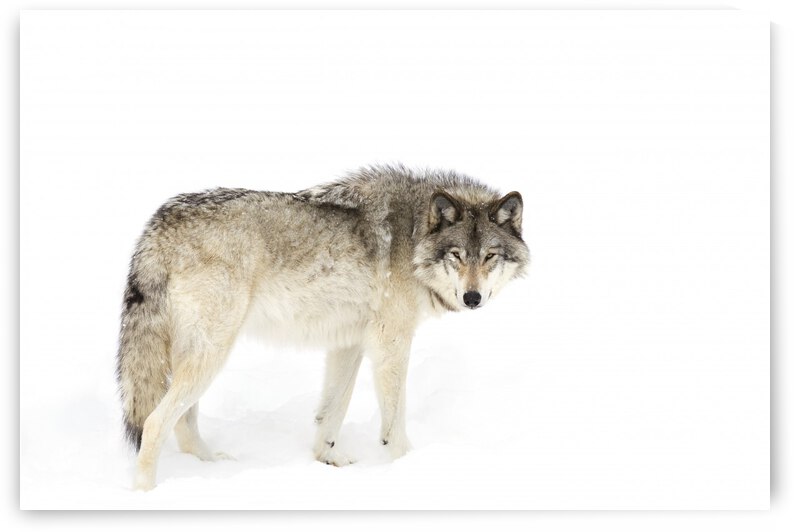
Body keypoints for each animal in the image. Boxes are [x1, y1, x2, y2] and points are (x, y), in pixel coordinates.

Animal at [117, 164, 529, 490]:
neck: (413, 235)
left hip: (197, 356)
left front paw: (327, 460)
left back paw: (211, 467)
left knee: (183, 422)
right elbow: (393, 424)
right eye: (457, 256)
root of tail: (159, 222)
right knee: (154, 423)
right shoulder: (390, 343)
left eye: (489, 257)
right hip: (211, 354)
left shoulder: (350, 343)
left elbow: (331, 411)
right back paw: (146, 493)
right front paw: (406, 467)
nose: (473, 298)